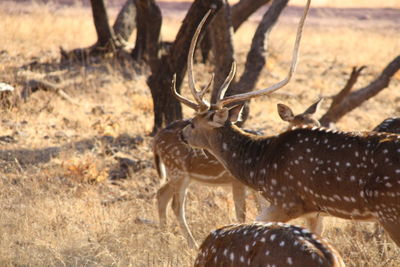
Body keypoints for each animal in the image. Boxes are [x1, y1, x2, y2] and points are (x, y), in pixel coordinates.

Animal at [172, 0, 400, 249]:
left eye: (194, 122)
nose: (182, 134)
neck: (258, 166)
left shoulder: (287, 200)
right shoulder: (315, 210)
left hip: (389, 209)